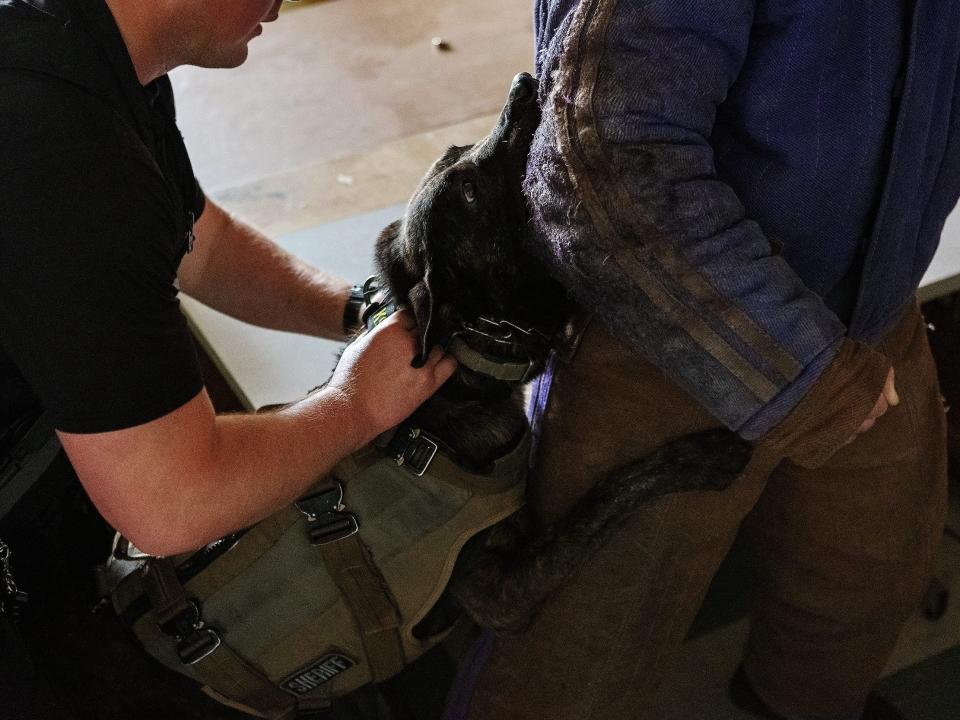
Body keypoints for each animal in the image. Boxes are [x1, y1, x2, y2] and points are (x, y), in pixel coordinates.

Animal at [368, 74, 752, 636]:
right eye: (470, 193)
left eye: (458, 150)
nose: (523, 83)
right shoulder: (502, 592)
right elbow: (605, 500)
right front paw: (701, 459)